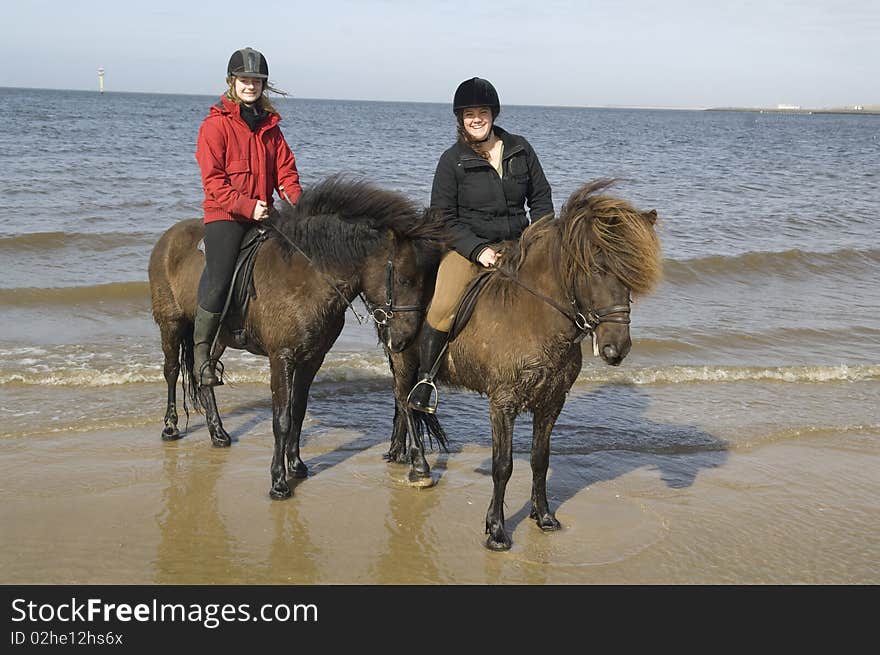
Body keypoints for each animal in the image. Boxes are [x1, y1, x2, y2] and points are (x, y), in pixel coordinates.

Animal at [150, 177, 446, 500]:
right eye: (404, 279)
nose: (406, 339)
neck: (307, 276)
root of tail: (167, 239)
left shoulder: (312, 358)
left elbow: (298, 411)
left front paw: (296, 464)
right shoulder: (282, 358)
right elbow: (281, 419)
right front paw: (278, 482)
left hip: (217, 339)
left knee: (202, 375)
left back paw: (218, 433)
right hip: (171, 324)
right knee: (172, 371)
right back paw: (170, 428)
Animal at [384, 178, 660, 548]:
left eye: (629, 273)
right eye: (596, 269)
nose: (616, 348)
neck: (534, 317)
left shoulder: (551, 402)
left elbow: (540, 460)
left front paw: (543, 516)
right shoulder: (503, 403)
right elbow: (503, 465)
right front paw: (496, 530)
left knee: (406, 407)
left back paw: (401, 456)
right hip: (403, 359)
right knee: (406, 401)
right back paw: (418, 468)